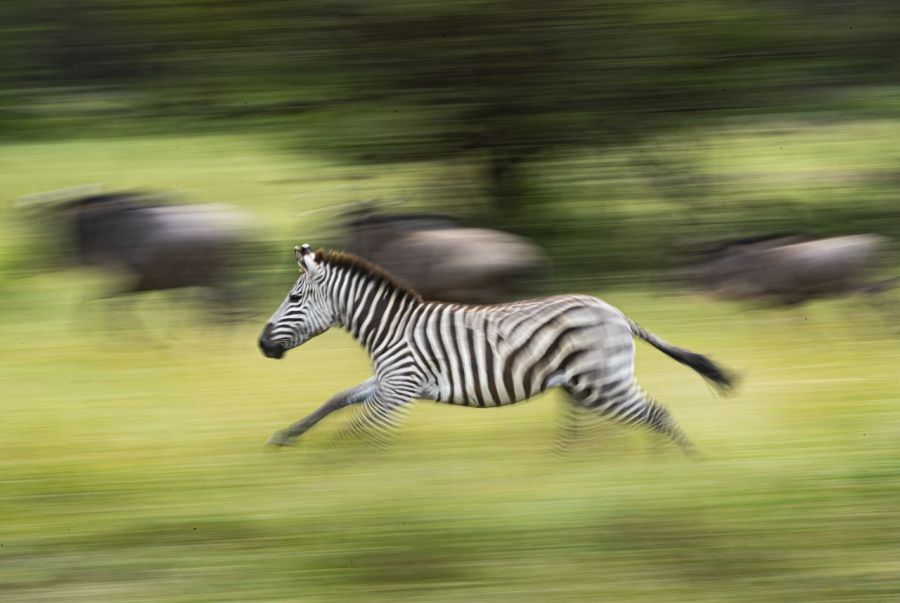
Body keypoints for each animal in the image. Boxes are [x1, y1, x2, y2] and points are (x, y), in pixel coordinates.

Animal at [258, 244, 734, 453]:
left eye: (294, 298)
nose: (262, 344)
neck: (390, 328)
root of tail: (615, 312)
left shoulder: (400, 387)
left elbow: (358, 431)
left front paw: (338, 470)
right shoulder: (389, 381)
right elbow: (337, 400)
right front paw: (287, 436)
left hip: (604, 382)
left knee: (657, 413)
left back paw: (680, 468)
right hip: (583, 384)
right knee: (600, 422)